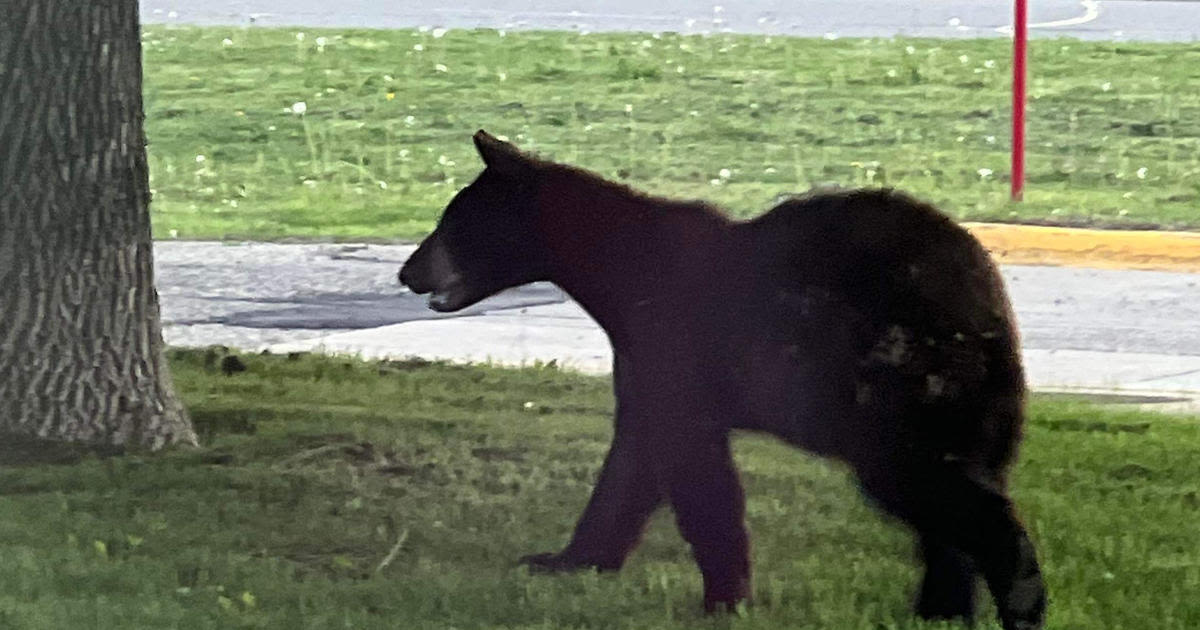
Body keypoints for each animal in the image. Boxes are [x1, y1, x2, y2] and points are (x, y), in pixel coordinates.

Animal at [398, 130, 1046, 624]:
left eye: (451, 221)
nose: (407, 271)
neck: (617, 272)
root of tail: (986, 299)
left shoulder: (675, 347)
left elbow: (697, 473)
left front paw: (724, 599)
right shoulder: (645, 361)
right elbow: (631, 462)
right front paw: (568, 560)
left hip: (898, 386)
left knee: (948, 497)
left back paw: (1020, 606)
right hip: (964, 406)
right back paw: (940, 609)